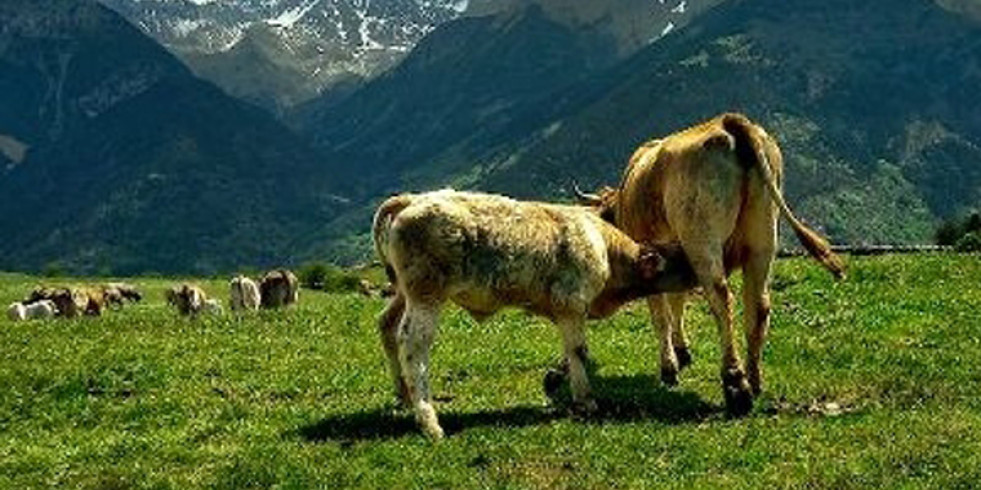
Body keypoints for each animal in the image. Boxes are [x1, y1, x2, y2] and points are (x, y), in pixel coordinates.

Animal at [370, 189, 696, 438]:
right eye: (681, 263)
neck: (606, 249)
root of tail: (412, 199)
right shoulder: (572, 302)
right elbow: (579, 350)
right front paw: (586, 400)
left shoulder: (565, 311)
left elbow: (569, 350)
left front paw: (557, 377)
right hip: (426, 294)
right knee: (413, 344)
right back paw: (429, 421)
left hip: (404, 292)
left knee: (387, 325)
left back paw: (403, 394)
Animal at [576, 113, 844, 416]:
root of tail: (729, 122)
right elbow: (677, 303)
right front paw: (682, 351)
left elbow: (661, 315)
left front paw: (669, 367)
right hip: (763, 241)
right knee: (759, 305)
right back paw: (754, 379)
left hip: (702, 240)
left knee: (722, 299)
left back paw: (736, 384)